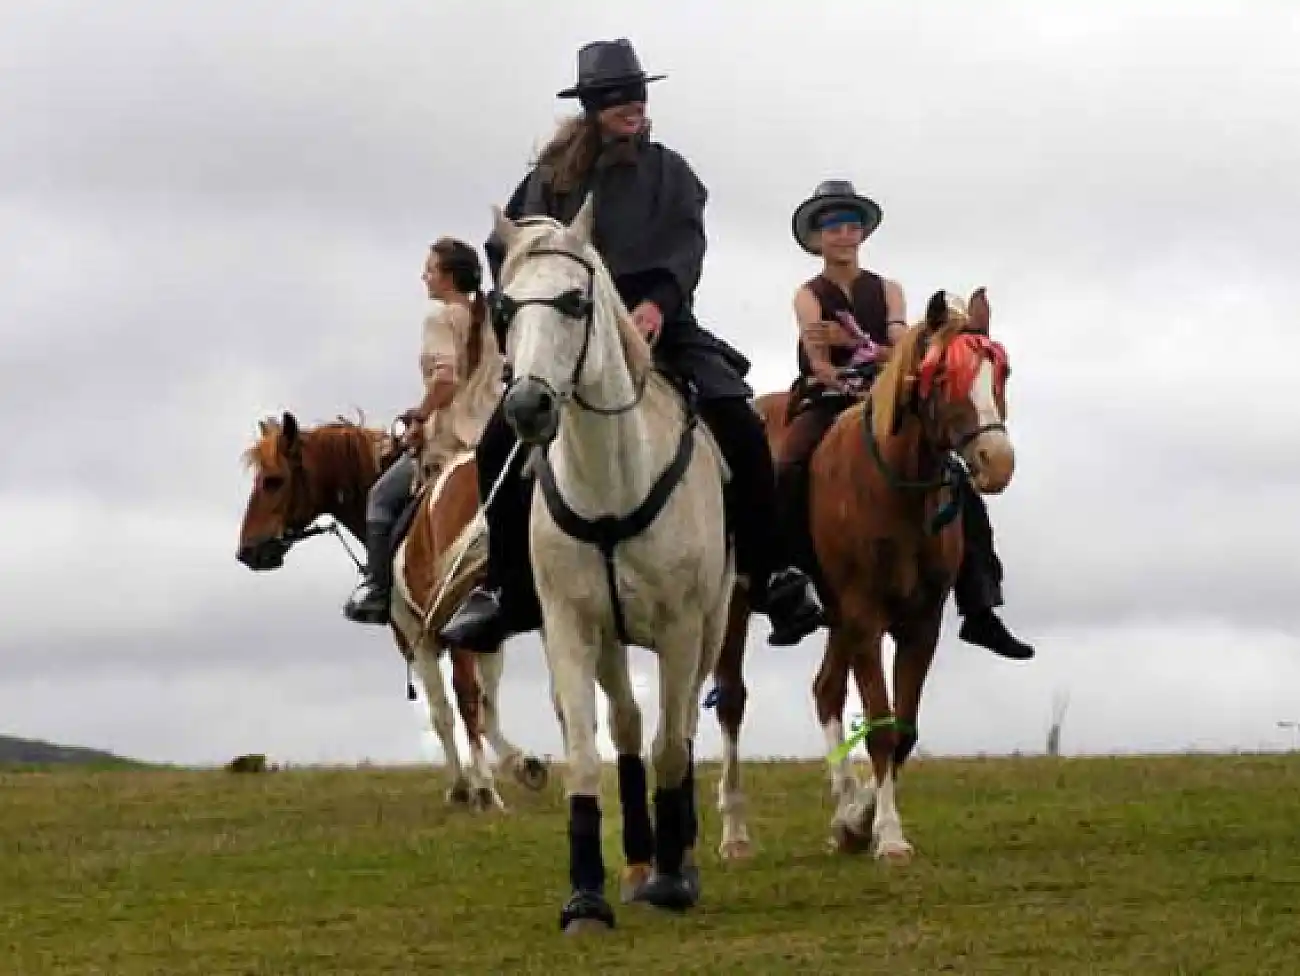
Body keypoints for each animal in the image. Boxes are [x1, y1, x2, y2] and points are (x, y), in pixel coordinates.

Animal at [235, 412, 548, 808]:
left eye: (273, 481)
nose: (246, 552)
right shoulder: (486, 629)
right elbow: (488, 699)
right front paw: (522, 763)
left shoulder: (417, 636)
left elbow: (446, 710)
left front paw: (466, 786)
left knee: (466, 698)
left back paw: (485, 790)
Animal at [489, 199, 735, 934]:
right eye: (504, 306)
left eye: (575, 301)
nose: (528, 407)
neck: (610, 486)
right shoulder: (570, 629)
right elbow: (583, 754)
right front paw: (586, 896)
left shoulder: (682, 630)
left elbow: (671, 747)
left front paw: (673, 881)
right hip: (609, 641)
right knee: (625, 723)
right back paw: (635, 862)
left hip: (711, 630)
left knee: (678, 733)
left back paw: (676, 860)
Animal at [718, 287, 1017, 860]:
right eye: (945, 377)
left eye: (1002, 372)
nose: (998, 461)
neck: (895, 490)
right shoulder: (865, 615)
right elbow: (880, 726)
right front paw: (890, 837)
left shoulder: (919, 623)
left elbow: (903, 728)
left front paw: (860, 821)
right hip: (737, 605)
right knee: (731, 699)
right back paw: (736, 832)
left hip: (837, 615)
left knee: (825, 690)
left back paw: (845, 805)